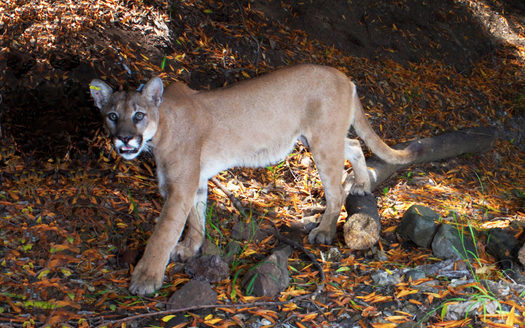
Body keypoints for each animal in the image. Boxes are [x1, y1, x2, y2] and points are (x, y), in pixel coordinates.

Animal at [91, 64, 418, 294]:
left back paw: (324, 231)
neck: (162, 126)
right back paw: (362, 184)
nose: (124, 139)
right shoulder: (193, 182)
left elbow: (163, 233)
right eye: (112, 116)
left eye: (138, 115)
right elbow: (196, 218)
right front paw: (190, 248)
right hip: (322, 139)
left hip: (323, 143)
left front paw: (145, 278)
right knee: (353, 146)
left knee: (336, 189)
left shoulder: (179, 187)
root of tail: (344, 76)